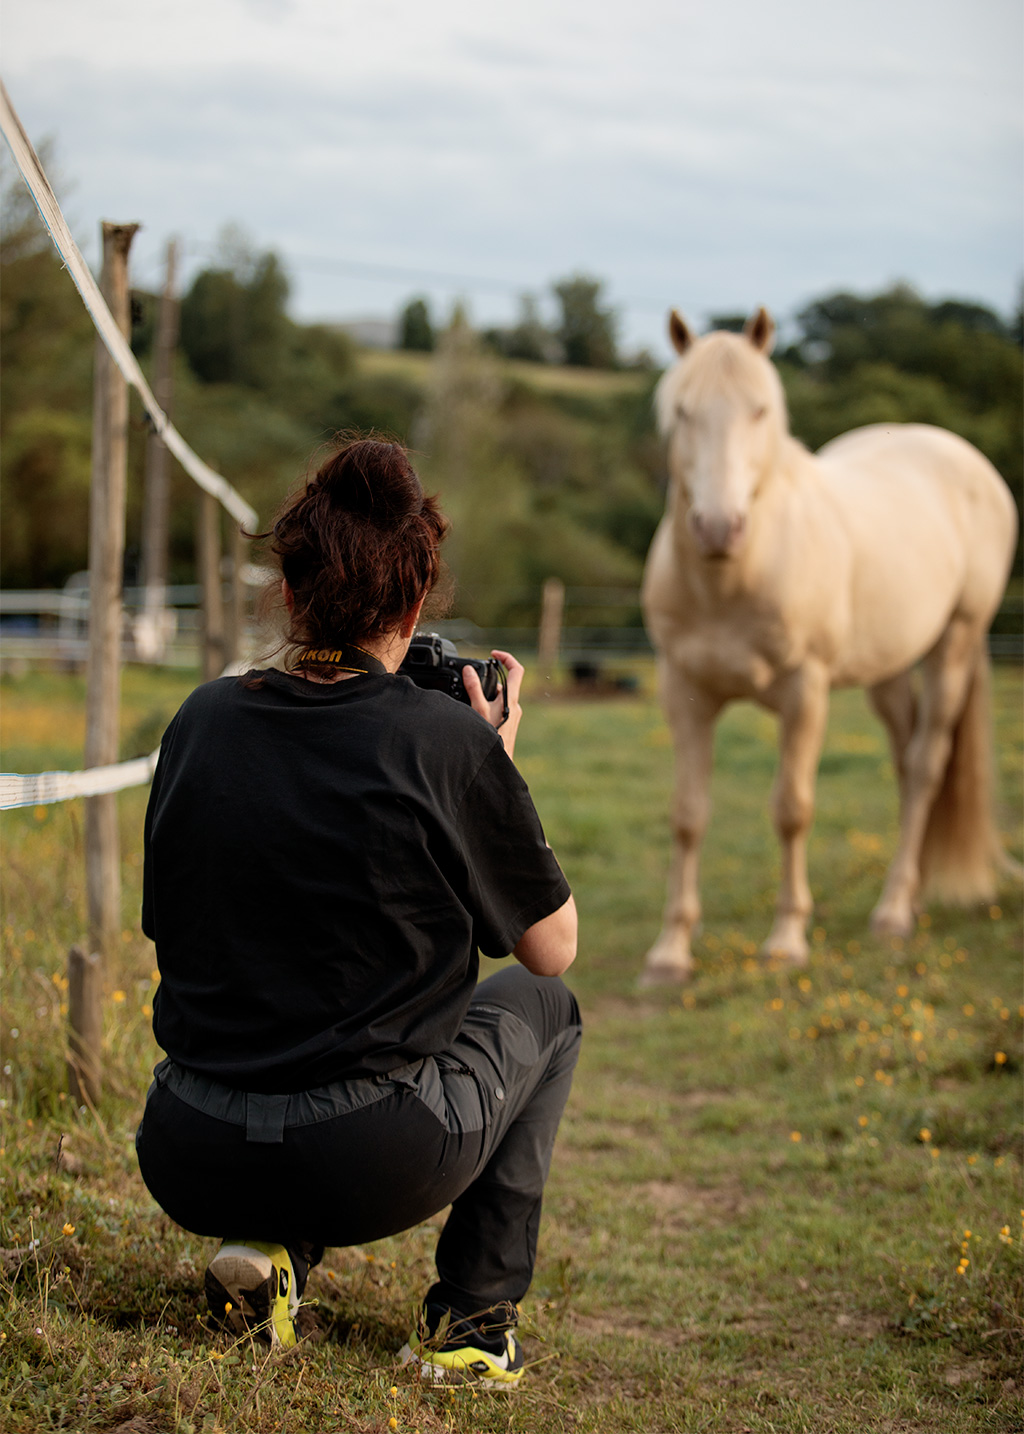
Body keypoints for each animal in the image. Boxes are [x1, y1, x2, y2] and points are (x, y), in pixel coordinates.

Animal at [636, 299, 1015, 975]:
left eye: (760, 409)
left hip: (955, 645)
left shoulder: (804, 692)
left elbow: (792, 810)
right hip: (888, 671)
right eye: (682, 412)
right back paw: (911, 897)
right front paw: (671, 950)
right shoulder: (684, 693)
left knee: (926, 767)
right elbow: (687, 815)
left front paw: (788, 938)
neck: (733, 579)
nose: (718, 528)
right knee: (904, 762)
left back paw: (891, 914)